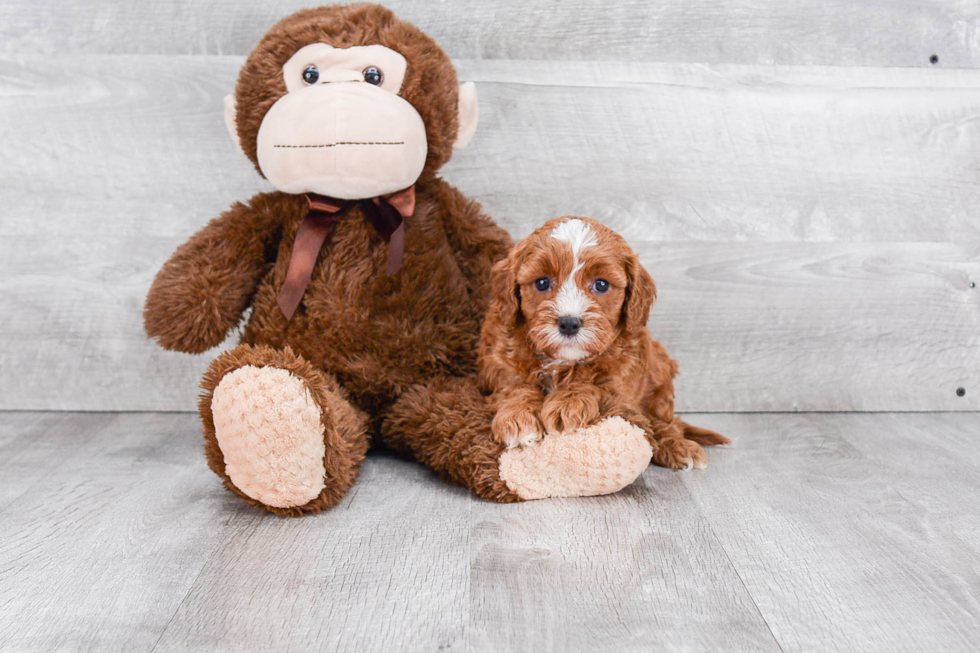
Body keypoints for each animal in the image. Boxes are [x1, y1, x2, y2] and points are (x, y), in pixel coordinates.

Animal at [478, 218, 732, 468]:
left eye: (601, 285)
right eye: (542, 283)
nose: (569, 323)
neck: (563, 360)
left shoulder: (623, 377)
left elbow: (595, 384)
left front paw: (568, 403)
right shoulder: (500, 360)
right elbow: (515, 386)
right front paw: (517, 417)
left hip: (660, 373)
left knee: (662, 422)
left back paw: (677, 446)